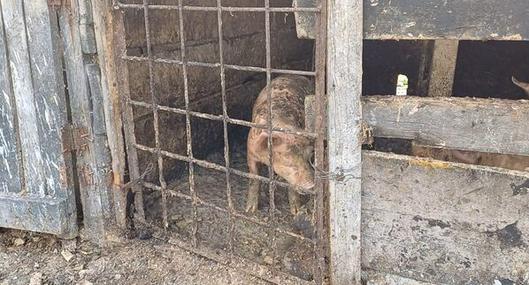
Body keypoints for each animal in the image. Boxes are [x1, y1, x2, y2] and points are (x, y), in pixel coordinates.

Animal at [246, 74, 316, 214]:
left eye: (309, 158)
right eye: (287, 161)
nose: (312, 185)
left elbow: (292, 188)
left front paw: (296, 211)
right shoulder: (250, 152)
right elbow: (254, 178)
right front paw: (249, 210)